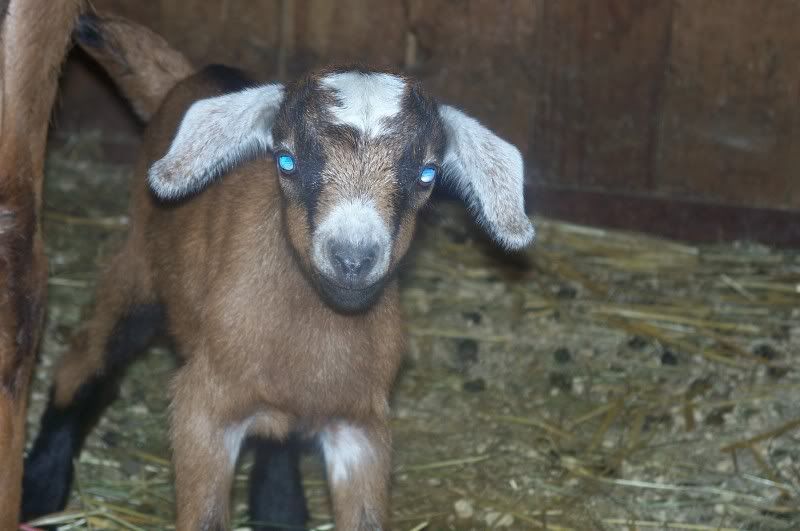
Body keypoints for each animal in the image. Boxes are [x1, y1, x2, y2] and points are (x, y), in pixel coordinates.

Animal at [23, 13, 535, 531]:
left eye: (427, 174)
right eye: (286, 160)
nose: (353, 257)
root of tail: (188, 80)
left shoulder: (362, 427)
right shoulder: (203, 411)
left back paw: (279, 508)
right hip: (138, 268)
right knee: (88, 359)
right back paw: (40, 488)